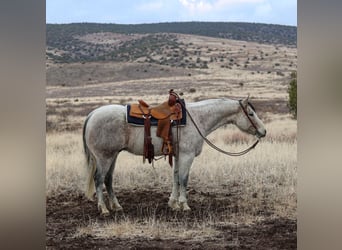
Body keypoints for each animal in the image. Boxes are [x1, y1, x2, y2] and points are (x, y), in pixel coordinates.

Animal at [83, 95, 268, 215]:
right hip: (104, 157)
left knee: (108, 179)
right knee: (99, 179)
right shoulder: (187, 155)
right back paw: (104, 209)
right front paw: (184, 205)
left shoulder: (178, 155)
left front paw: (173, 203)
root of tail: (92, 114)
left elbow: (176, 177)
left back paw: (116, 206)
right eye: (251, 114)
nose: (263, 131)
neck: (197, 118)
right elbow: (184, 179)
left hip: (112, 156)